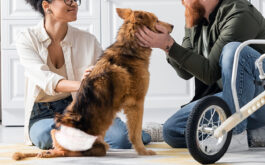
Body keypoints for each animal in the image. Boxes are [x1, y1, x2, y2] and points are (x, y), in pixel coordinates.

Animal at [12, 7, 173, 160]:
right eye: (157, 20)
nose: (172, 25)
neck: (128, 49)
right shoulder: (136, 103)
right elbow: (136, 133)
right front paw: (143, 152)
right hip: (97, 146)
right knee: (68, 153)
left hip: (56, 131)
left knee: (57, 149)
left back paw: (45, 153)